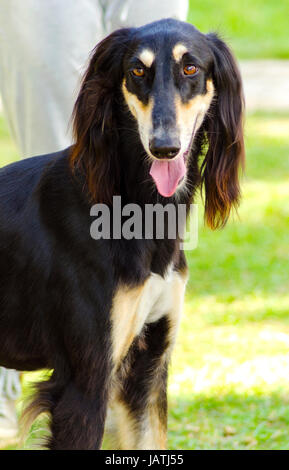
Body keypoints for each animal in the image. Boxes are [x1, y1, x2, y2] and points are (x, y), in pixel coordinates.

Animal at [0, 20, 243, 450]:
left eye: (191, 68)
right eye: (137, 71)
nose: (164, 147)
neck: (137, 211)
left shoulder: (145, 371)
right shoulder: (85, 384)